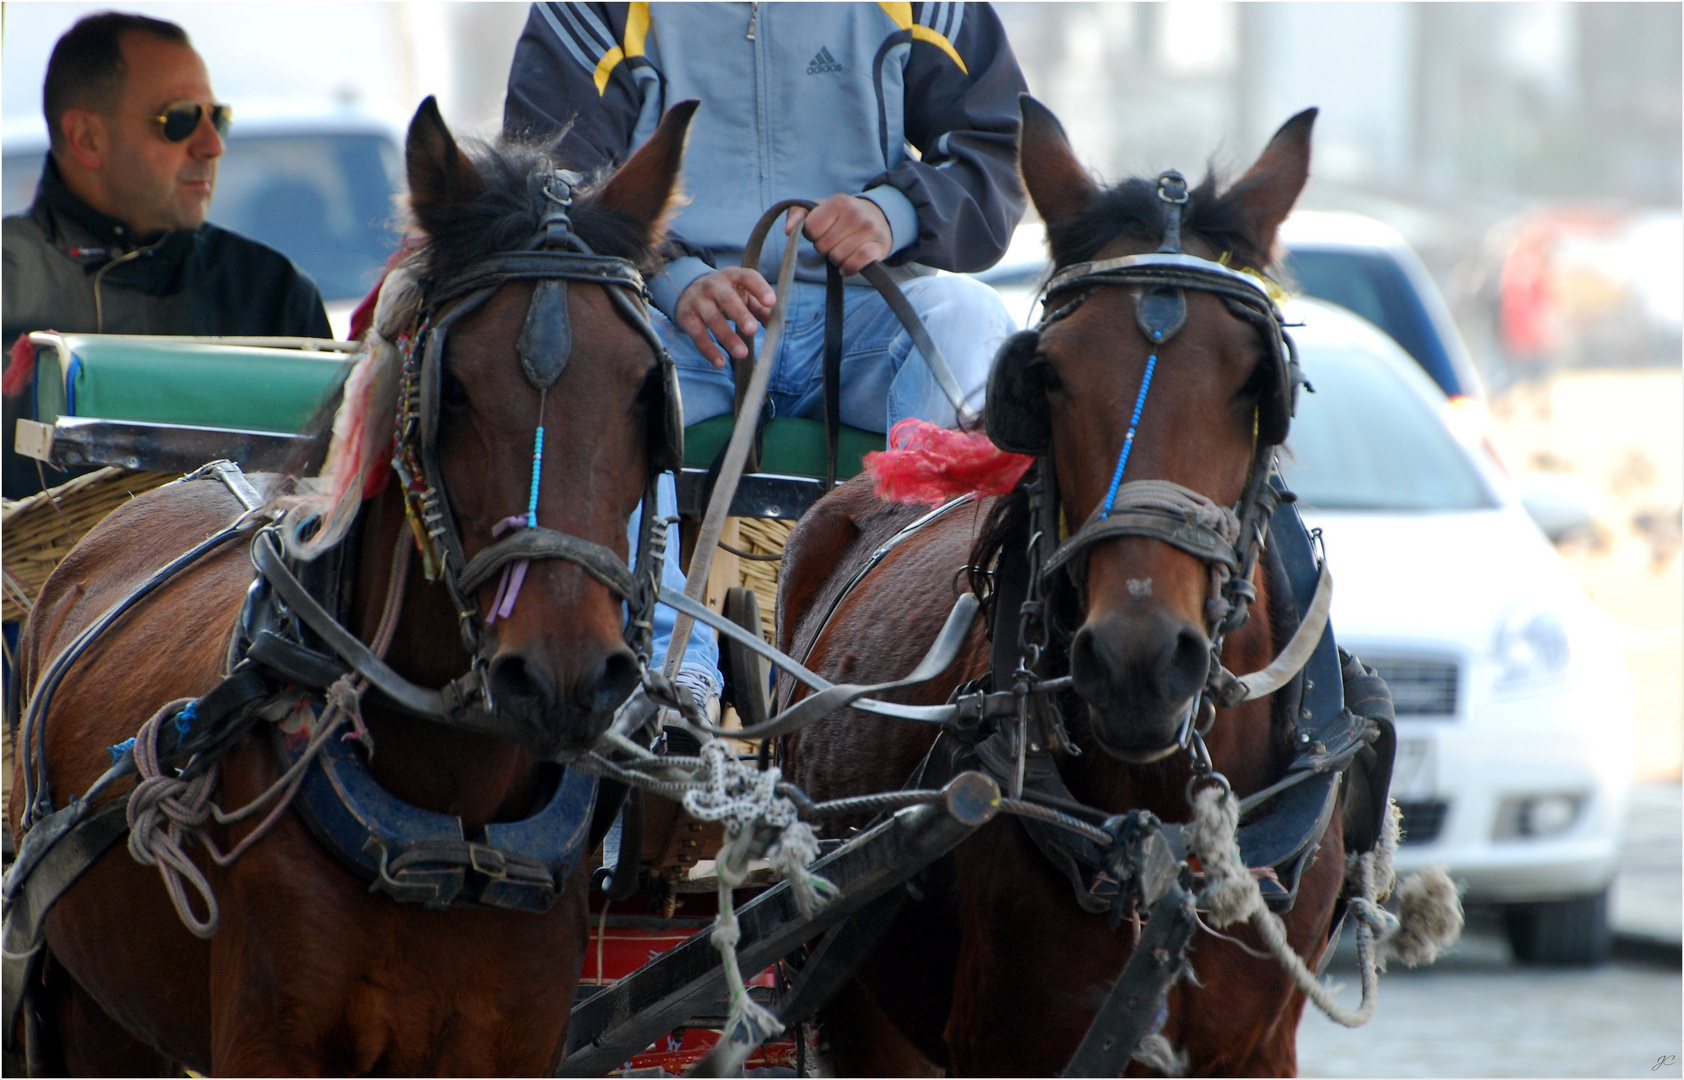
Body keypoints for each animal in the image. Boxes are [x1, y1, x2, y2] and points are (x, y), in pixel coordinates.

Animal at [6, 96, 697, 1071]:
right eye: (456, 390)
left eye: (645, 392)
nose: (562, 676)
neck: (452, 804)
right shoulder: (269, 1038)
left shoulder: (518, 1041)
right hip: (87, 1010)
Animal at [778, 98, 1353, 1071]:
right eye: (1047, 373)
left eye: (1258, 381)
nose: (1139, 665)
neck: (1157, 828)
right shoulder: (1010, 1040)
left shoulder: (1261, 1048)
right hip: (860, 1006)